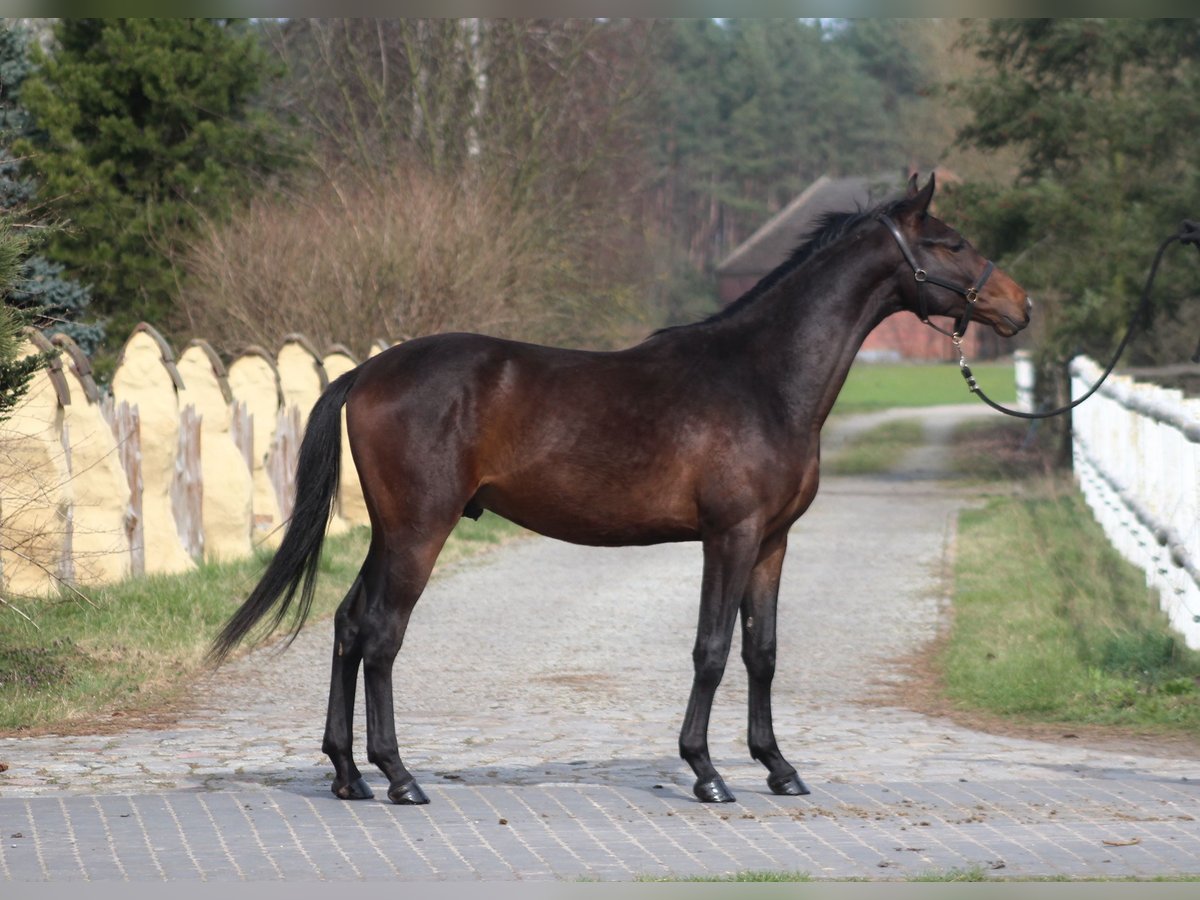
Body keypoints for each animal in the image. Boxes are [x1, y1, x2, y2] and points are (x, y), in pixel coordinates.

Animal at [208, 172, 1032, 806]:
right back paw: (400, 777)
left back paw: (348, 775)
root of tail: (369, 372)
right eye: (951, 243)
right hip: (420, 530)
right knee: (381, 634)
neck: (761, 378)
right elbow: (711, 649)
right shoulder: (729, 536)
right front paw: (706, 773)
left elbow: (761, 652)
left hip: (391, 531)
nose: (1021, 307)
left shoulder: (772, 541)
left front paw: (779, 767)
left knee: (349, 625)